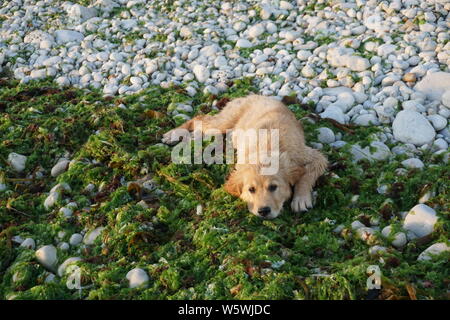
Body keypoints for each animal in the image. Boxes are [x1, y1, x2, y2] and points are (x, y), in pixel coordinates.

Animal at [162, 94, 326, 220]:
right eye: (251, 190)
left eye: (273, 187)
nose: (263, 211)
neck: (266, 149)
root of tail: (249, 95)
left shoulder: (308, 155)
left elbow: (308, 174)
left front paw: (301, 198)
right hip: (224, 121)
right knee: (200, 118)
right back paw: (174, 133)